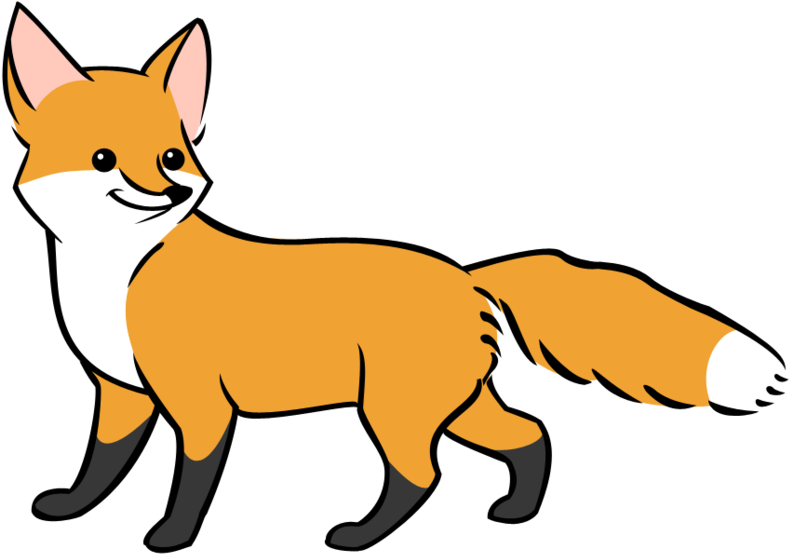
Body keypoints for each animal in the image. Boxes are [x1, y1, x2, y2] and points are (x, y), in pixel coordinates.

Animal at [9, 9, 785, 548]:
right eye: (104, 158)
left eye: (173, 156)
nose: (169, 193)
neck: (113, 274)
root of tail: (467, 276)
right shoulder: (120, 394)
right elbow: (101, 464)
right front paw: (72, 508)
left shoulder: (198, 404)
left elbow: (190, 481)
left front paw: (171, 537)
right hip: (456, 404)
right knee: (527, 434)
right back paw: (516, 512)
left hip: (395, 409)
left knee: (423, 474)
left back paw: (361, 536)